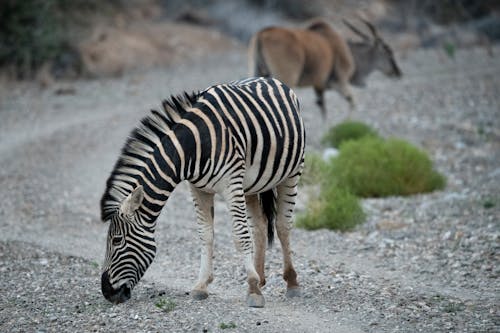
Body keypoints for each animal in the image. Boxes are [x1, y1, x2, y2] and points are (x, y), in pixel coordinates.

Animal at [99, 76, 304, 308]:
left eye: (117, 241)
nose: (107, 292)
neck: (193, 146)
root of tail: (268, 78)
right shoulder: (198, 188)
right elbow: (205, 234)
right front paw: (201, 286)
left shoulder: (231, 183)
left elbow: (240, 235)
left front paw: (252, 289)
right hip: (251, 184)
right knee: (260, 226)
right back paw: (260, 278)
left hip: (292, 172)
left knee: (282, 225)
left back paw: (291, 282)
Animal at [250, 18, 402, 116]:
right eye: (388, 52)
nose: (398, 72)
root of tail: (263, 33)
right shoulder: (340, 82)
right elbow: (352, 102)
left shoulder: (319, 86)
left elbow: (323, 110)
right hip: (285, 78)